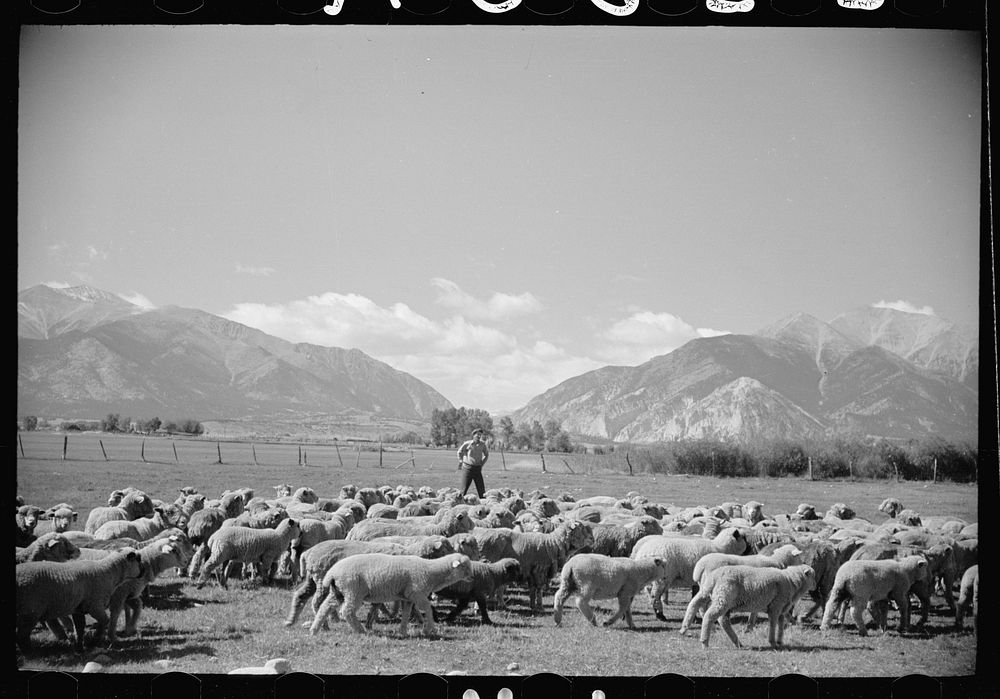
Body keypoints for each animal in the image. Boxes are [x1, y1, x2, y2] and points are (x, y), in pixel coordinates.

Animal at [14, 548, 145, 652]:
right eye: (138, 559)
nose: (144, 571)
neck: (109, 572)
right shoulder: (95, 605)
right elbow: (104, 621)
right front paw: (94, 641)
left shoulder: (79, 609)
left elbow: (80, 628)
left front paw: (80, 647)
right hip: (30, 611)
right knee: (21, 635)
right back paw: (29, 652)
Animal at [306, 556, 474, 636]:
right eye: (465, 567)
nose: (472, 577)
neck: (431, 571)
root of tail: (331, 573)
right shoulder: (417, 593)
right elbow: (427, 608)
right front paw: (429, 629)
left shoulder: (407, 597)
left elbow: (406, 613)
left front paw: (403, 631)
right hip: (353, 590)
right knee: (346, 611)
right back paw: (361, 631)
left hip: (338, 591)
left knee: (325, 607)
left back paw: (314, 630)